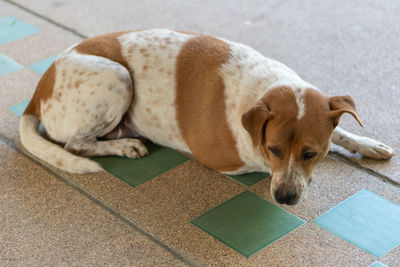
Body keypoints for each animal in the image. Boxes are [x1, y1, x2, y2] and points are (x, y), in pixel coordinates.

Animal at [19, 28, 394, 205]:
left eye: (310, 153)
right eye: (273, 149)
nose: (284, 198)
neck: (262, 88)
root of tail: (37, 91)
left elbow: (339, 130)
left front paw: (367, 144)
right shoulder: (230, 161)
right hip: (117, 78)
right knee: (76, 144)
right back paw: (125, 146)